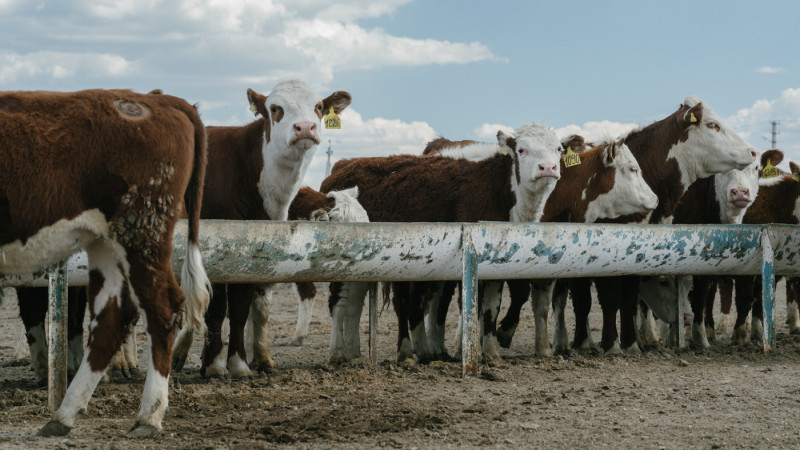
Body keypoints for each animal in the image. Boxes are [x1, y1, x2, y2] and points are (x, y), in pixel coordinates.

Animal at [0, 88, 209, 436]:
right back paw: (64, 414)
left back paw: (148, 416)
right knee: (111, 319)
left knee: (162, 310)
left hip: (141, 233)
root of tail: (158, 100)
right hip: (106, 242)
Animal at [170, 79, 352, 378]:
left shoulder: (254, 253)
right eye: (276, 108)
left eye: (318, 106)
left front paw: (239, 363)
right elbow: (218, 308)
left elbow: (242, 307)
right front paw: (215, 363)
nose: (305, 128)